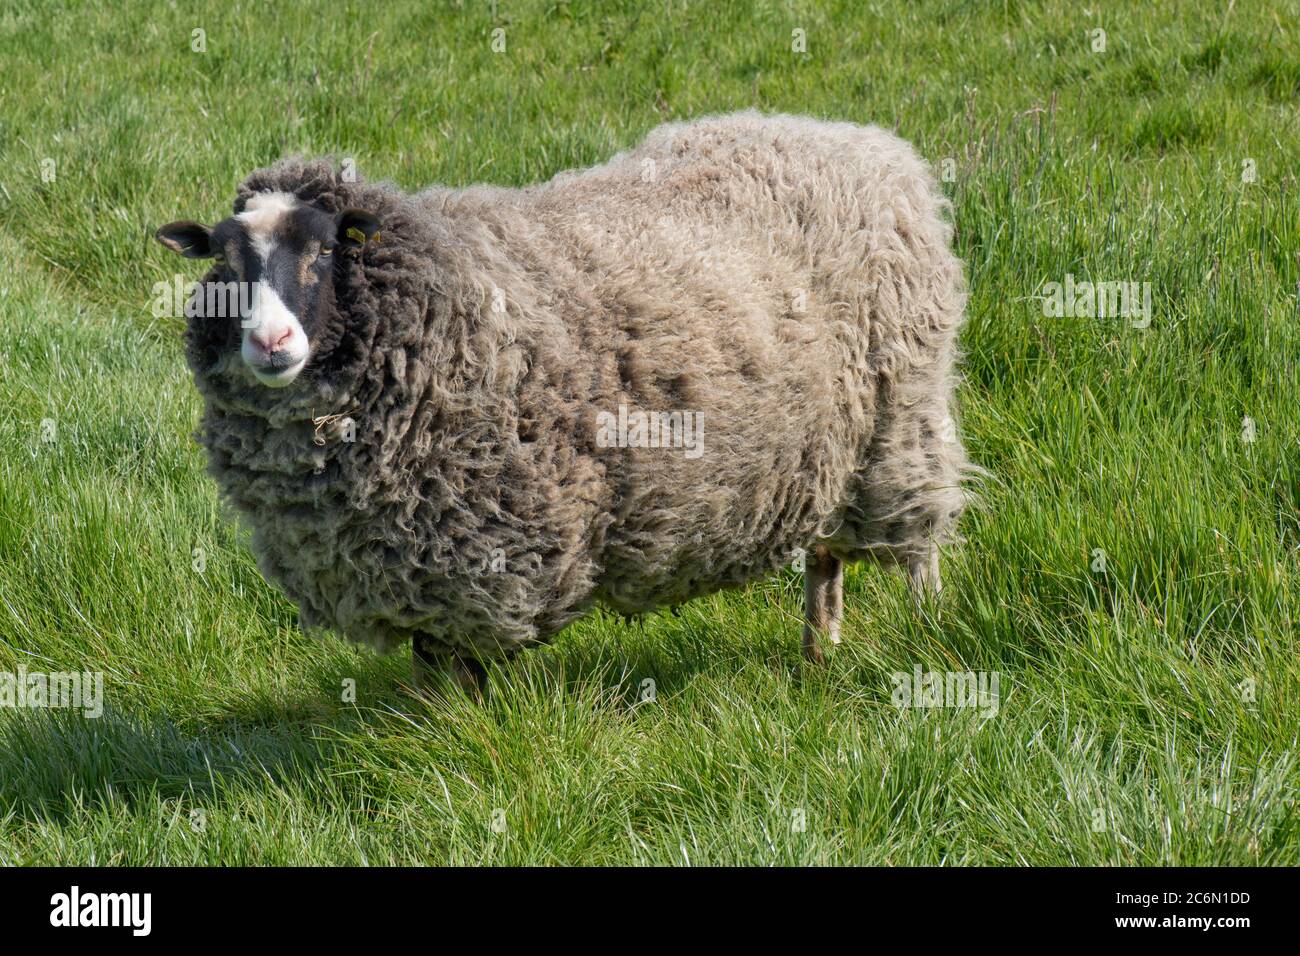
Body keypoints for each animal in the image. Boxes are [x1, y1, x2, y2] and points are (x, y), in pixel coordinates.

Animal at [154, 111, 972, 692]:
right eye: (226, 263)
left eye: (326, 250)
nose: (270, 342)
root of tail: (863, 142)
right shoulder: (411, 569)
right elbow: (428, 674)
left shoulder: (476, 556)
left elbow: (460, 682)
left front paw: (458, 747)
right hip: (824, 451)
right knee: (826, 558)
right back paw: (817, 656)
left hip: (900, 420)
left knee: (918, 539)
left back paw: (925, 632)